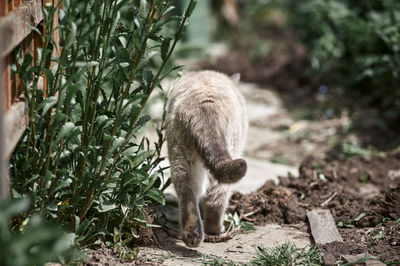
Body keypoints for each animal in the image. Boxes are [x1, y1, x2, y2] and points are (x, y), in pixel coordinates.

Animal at [165, 70, 247, 247]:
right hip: (231, 149)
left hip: (181, 155)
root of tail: (204, 104)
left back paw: (191, 236)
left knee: (187, 190)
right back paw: (216, 230)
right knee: (216, 197)